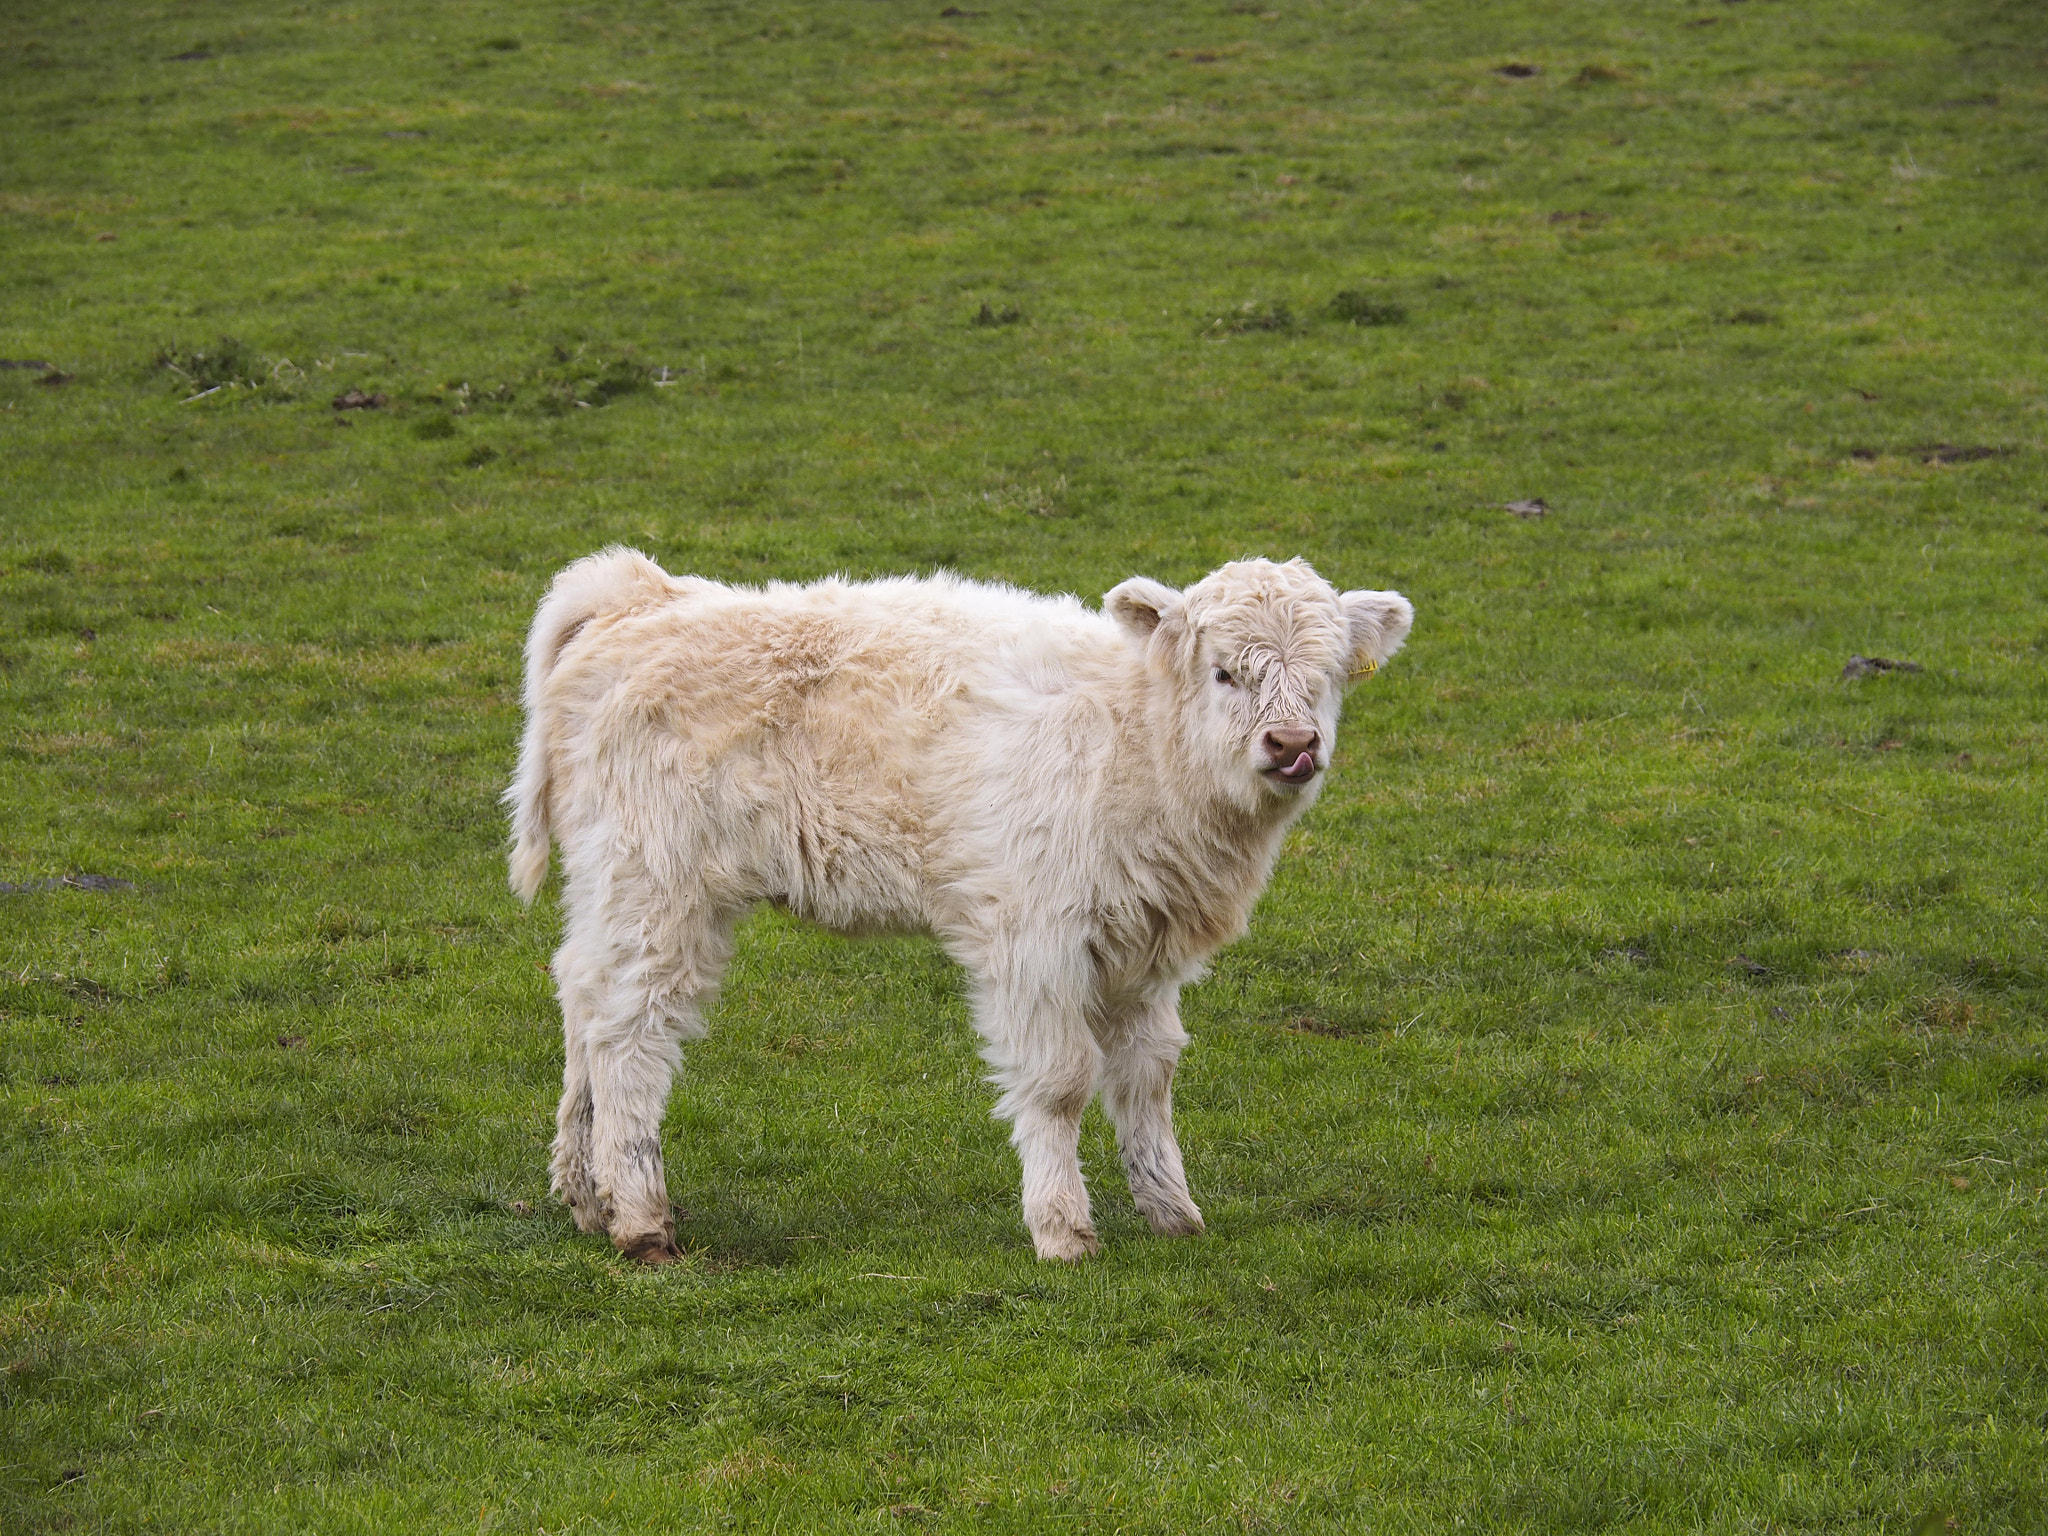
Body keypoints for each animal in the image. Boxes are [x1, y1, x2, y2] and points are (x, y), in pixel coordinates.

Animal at [506, 549, 1412, 1263]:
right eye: (1225, 671)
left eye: (1327, 678)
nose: (1293, 746)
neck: (1136, 739)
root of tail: (647, 596)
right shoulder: (1033, 936)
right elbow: (1061, 1080)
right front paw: (1063, 1228)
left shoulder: (1143, 950)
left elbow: (1149, 1075)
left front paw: (1171, 1210)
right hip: (661, 884)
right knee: (631, 1029)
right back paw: (640, 1218)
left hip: (612, 885)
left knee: (582, 995)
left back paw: (584, 1194)